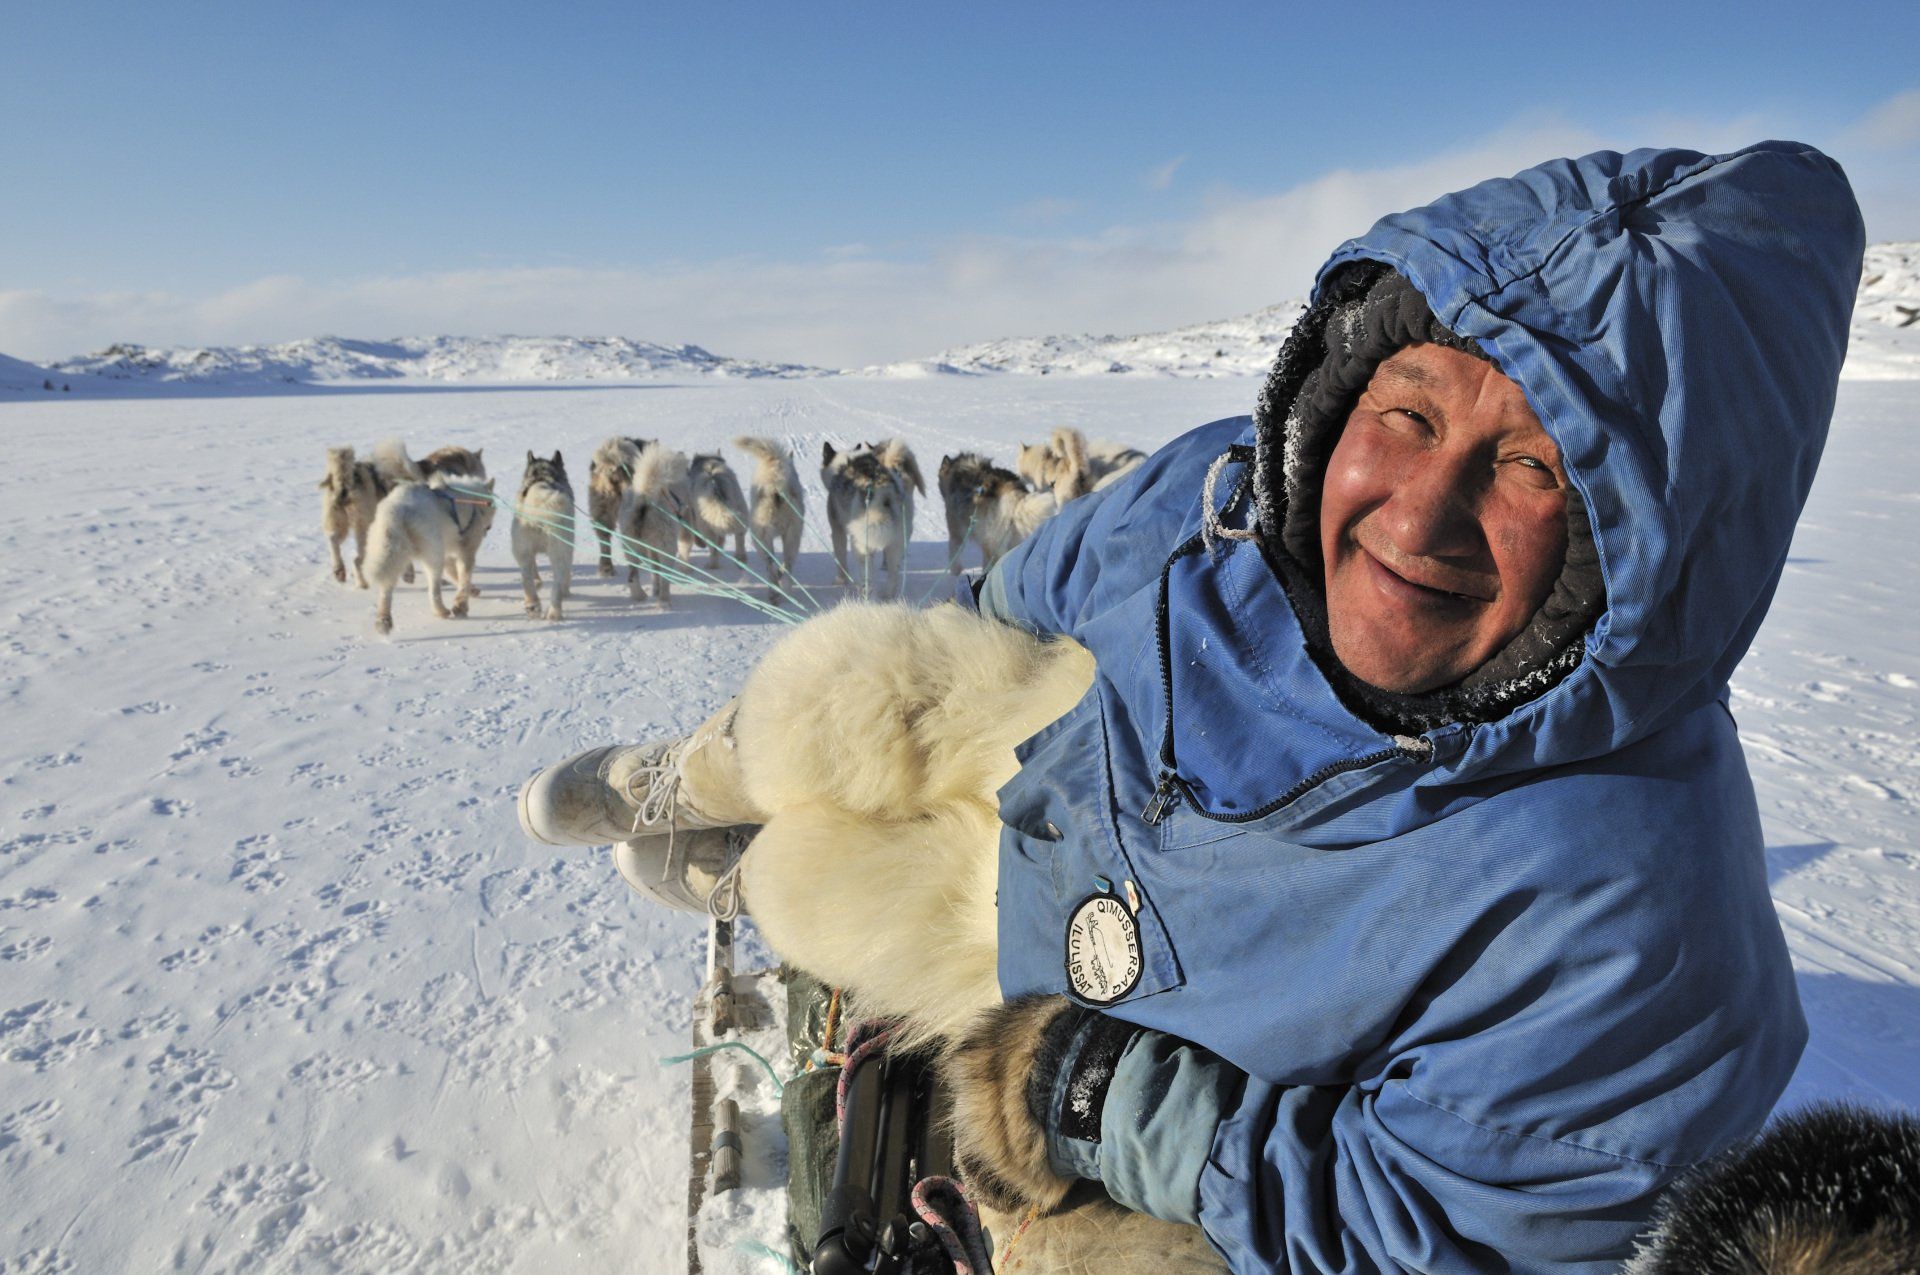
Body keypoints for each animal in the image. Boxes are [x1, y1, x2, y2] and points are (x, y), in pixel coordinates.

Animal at [360, 470, 495, 633]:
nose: (489, 528)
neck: (472, 502)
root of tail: (398, 510)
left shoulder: (448, 553)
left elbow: (454, 574)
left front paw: (473, 591)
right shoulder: (465, 551)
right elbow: (464, 578)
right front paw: (461, 606)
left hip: (391, 554)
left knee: (386, 590)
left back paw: (383, 621)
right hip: (433, 555)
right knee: (434, 589)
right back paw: (441, 611)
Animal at [506, 453, 572, 622]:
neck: (543, 476)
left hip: (523, 551)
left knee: (527, 577)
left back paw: (534, 605)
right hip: (556, 552)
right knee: (555, 582)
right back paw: (553, 612)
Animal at [614, 443, 691, 606]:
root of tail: (644, 497)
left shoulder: (651, 549)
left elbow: (654, 571)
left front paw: (654, 590)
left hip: (632, 547)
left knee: (633, 577)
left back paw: (640, 596)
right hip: (667, 546)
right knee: (664, 578)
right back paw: (664, 601)